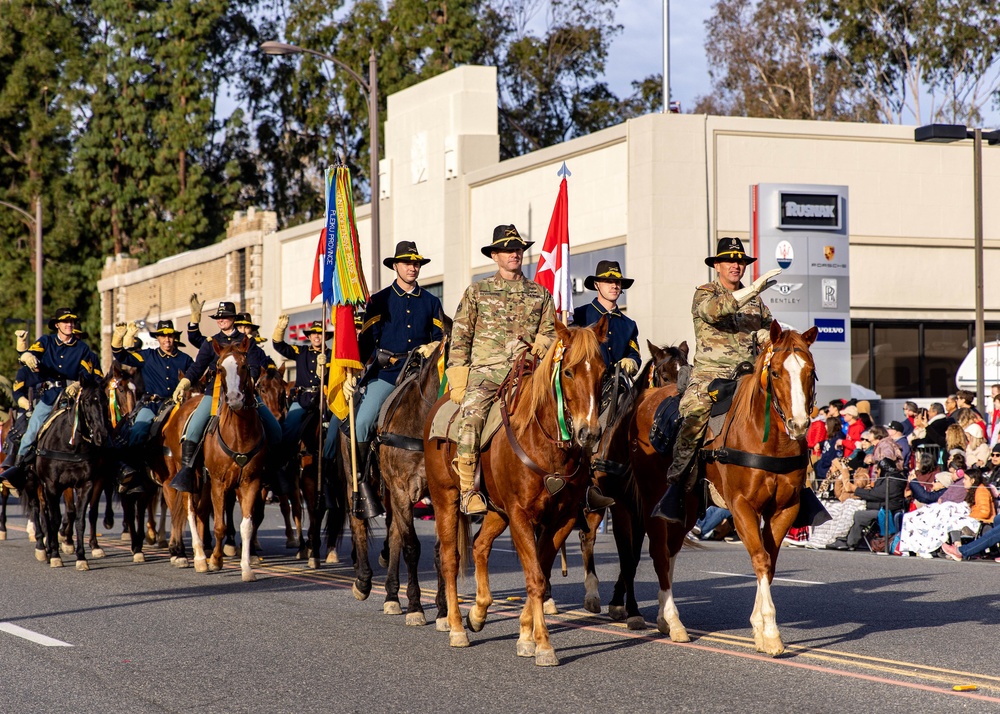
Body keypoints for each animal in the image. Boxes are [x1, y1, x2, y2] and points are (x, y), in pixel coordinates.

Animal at [30, 384, 111, 568]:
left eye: (105, 401)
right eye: (87, 402)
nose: (102, 435)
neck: (71, 446)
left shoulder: (87, 484)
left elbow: (81, 518)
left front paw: (81, 557)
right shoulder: (53, 485)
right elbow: (55, 519)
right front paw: (55, 555)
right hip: (35, 482)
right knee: (38, 509)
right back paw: (42, 547)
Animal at [187, 338, 268, 580]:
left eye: (244, 365)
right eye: (220, 368)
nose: (234, 399)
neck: (239, 434)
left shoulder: (251, 482)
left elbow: (247, 525)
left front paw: (247, 568)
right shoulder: (218, 482)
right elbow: (220, 526)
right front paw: (215, 560)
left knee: (201, 512)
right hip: (190, 479)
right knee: (192, 511)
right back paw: (199, 557)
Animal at [424, 320, 604, 664]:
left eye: (603, 371)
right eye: (569, 372)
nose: (589, 433)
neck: (545, 443)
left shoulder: (562, 519)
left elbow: (542, 573)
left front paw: (525, 635)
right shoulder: (521, 515)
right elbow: (534, 577)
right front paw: (544, 645)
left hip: (497, 511)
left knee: (480, 546)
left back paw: (478, 613)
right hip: (445, 499)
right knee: (449, 558)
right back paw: (456, 627)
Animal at [660, 320, 816, 652]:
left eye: (810, 372)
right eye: (775, 372)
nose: (798, 425)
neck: (770, 441)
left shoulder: (784, 508)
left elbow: (769, 562)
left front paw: (759, 628)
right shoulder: (742, 506)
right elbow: (760, 558)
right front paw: (770, 632)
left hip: (691, 506)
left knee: (670, 550)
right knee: (659, 550)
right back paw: (667, 619)